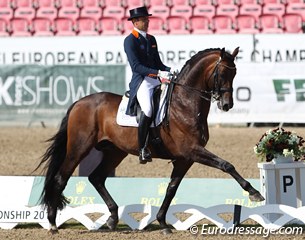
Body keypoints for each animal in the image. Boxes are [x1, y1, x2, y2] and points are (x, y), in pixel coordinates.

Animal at [36, 47, 262, 234]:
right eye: (222, 74)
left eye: (234, 73)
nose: (227, 105)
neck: (185, 104)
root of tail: (79, 102)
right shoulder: (192, 151)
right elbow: (227, 165)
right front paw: (254, 192)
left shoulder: (185, 159)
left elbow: (172, 188)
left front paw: (162, 223)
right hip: (79, 147)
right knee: (61, 178)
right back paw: (53, 224)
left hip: (114, 151)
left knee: (97, 178)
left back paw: (112, 218)